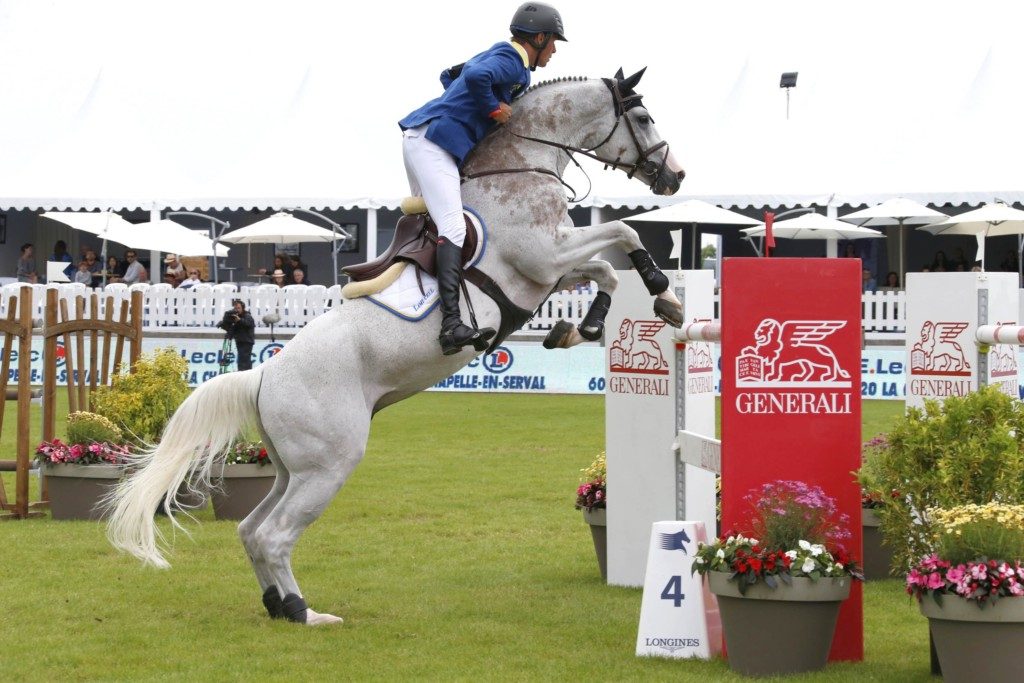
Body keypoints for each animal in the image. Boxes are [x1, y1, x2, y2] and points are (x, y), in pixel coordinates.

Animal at [105, 68, 688, 626]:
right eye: (643, 116)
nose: (675, 176)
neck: (520, 168)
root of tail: (263, 375)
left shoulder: (548, 273)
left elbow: (605, 270)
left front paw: (585, 327)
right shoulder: (544, 257)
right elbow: (623, 233)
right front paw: (663, 294)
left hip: (294, 467)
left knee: (251, 529)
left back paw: (279, 605)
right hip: (329, 464)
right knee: (275, 535)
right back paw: (304, 613)